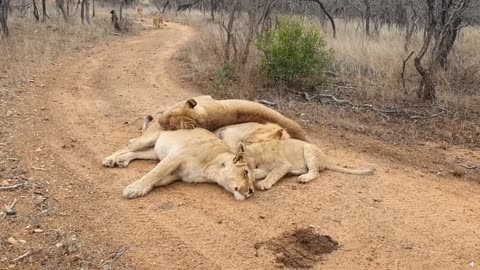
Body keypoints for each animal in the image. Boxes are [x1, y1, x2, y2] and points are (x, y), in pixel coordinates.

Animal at [122, 128, 255, 200]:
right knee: (127, 147)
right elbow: (155, 173)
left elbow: (159, 180)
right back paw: (116, 158)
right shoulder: (176, 156)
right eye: (246, 172)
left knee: (135, 153)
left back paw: (121, 160)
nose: (251, 192)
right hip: (147, 140)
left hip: (153, 152)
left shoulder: (178, 175)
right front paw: (134, 189)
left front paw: (145, 188)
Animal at [236, 137, 376, 190]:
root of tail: (325, 160)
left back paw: (303, 178)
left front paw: (264, 184)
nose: (232, 162)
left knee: (315, 172)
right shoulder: (264, 168)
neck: (257, 154)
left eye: (237, 157)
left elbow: (273, 174)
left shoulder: (283, 164)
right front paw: (251, 176)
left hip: (308, 149)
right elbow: (259, 172)